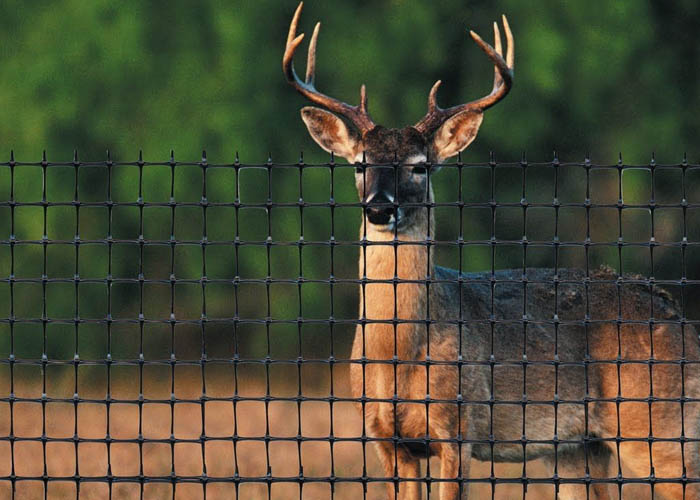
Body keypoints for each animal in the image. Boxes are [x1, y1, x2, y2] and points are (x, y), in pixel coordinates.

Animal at [283, 3, 700, 499]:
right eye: (360, 164)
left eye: (421, 167)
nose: (380, 208)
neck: (398, 354)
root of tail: (680, 316)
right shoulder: (385, 438)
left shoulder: (459, 429)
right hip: (578, 447)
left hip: (660, 425)